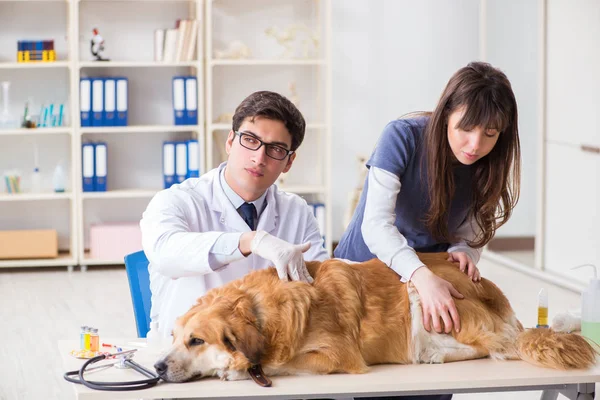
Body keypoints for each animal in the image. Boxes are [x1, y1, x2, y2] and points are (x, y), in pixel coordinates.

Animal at [154, 253, 596, 384]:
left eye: (196, 340)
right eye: (173, 337)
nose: (157, 367)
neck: (262, 313)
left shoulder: (339, 356)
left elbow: (284, 362)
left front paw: (240, 369)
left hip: (423, 295)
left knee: (494, 348)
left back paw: (438, 354)